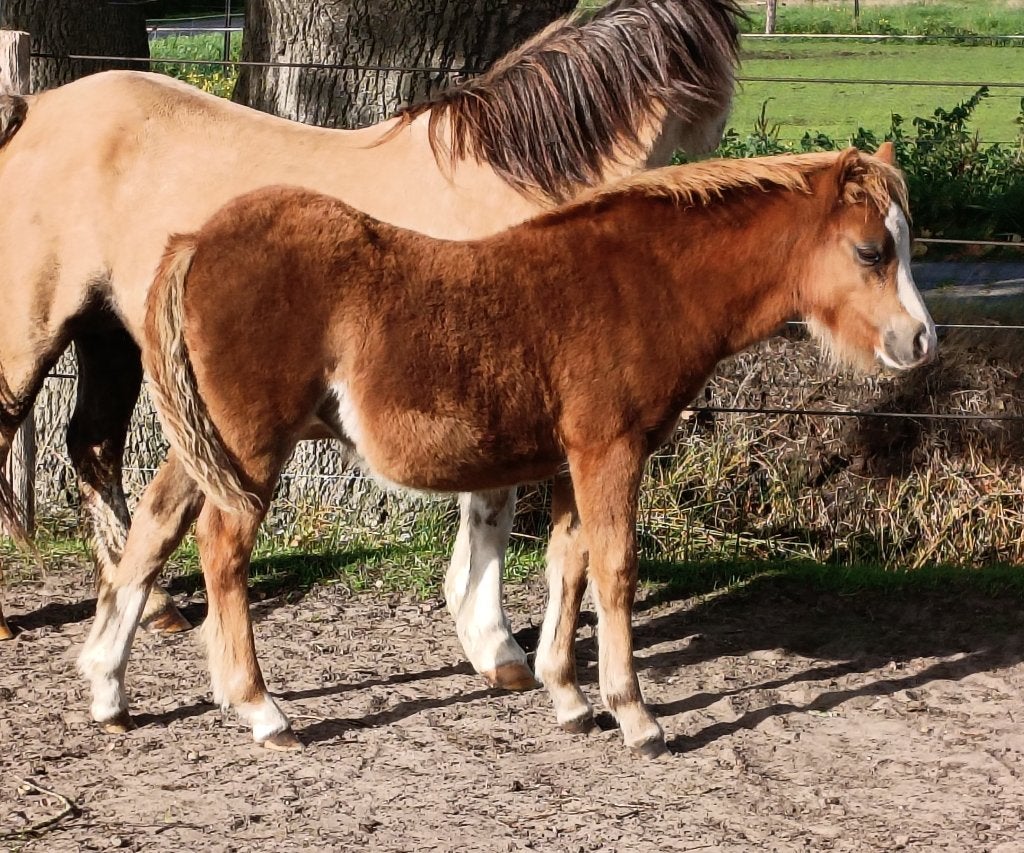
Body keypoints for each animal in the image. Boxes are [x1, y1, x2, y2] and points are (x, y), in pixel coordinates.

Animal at [0, 0, 741, 691]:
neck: (506, 191)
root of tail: (31, 112)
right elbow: (492, 508)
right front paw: (497, 646)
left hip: (110, 334)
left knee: (93, 449)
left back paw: (154, 608)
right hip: (32, 334)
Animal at [79, 145, 936, 756]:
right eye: (871, 250)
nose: (919, 341)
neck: (645, 282)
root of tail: (197, 239)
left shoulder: (569, 459)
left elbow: (569, 565)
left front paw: (568, 698)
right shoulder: (611, 450)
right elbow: (616, 570)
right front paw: (636, 717)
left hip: (209, 444)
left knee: (155, 527)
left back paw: (108, 691)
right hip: (253, 444)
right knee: (222, 547)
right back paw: (262, 709)